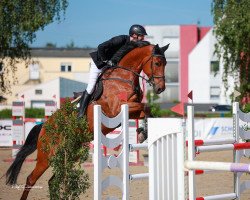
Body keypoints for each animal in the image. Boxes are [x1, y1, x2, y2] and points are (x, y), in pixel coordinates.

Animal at [4, 41, 169, 199]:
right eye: (157, 63)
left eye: (166, 63)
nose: (160, 89)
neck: (123, 76)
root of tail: (44, 126)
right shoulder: (116, 109)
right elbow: (145, 106)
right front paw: (142, 133)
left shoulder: (130, 110)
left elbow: (147, 110)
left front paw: (143, 132)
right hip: (47, 157)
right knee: (31, 179)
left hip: (70, 154)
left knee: (53, 181)